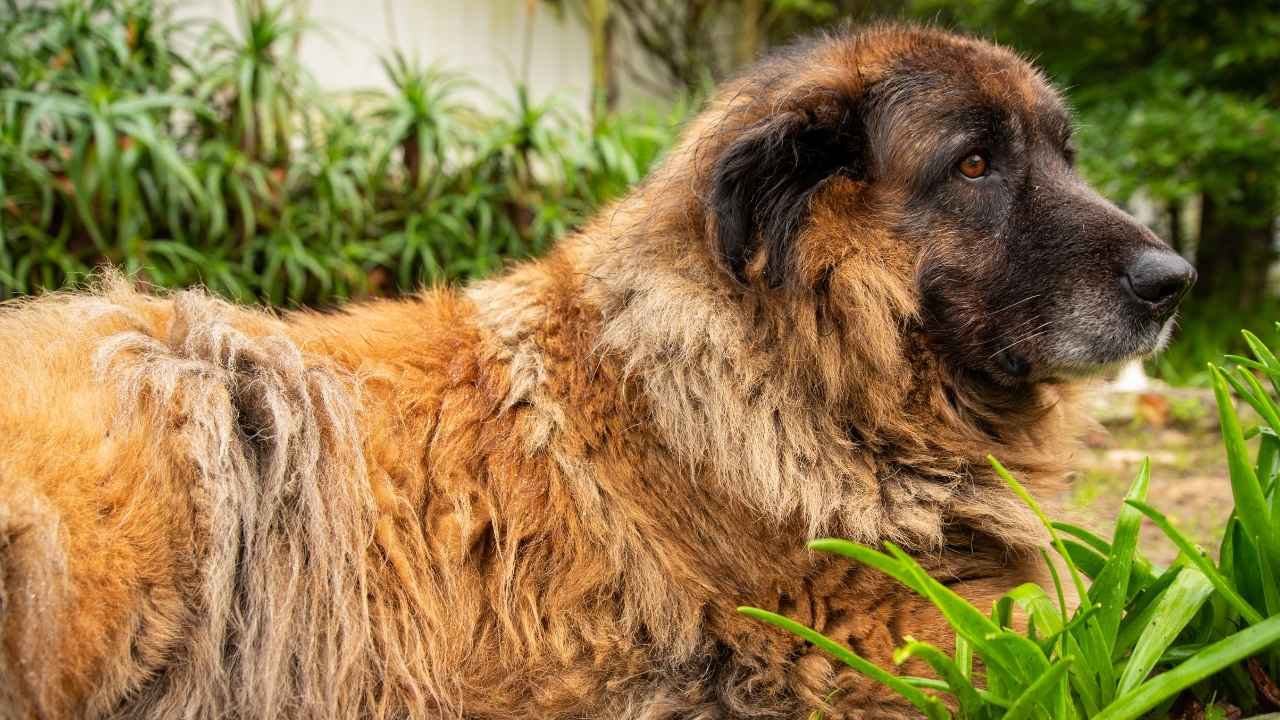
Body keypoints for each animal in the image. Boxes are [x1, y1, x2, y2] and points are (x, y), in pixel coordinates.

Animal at [2, 22, 1198, 717]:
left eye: (1064, 155)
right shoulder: (900, 643)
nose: (1173, 279)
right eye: (975, 164)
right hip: (169, 415)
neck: (791, 368)